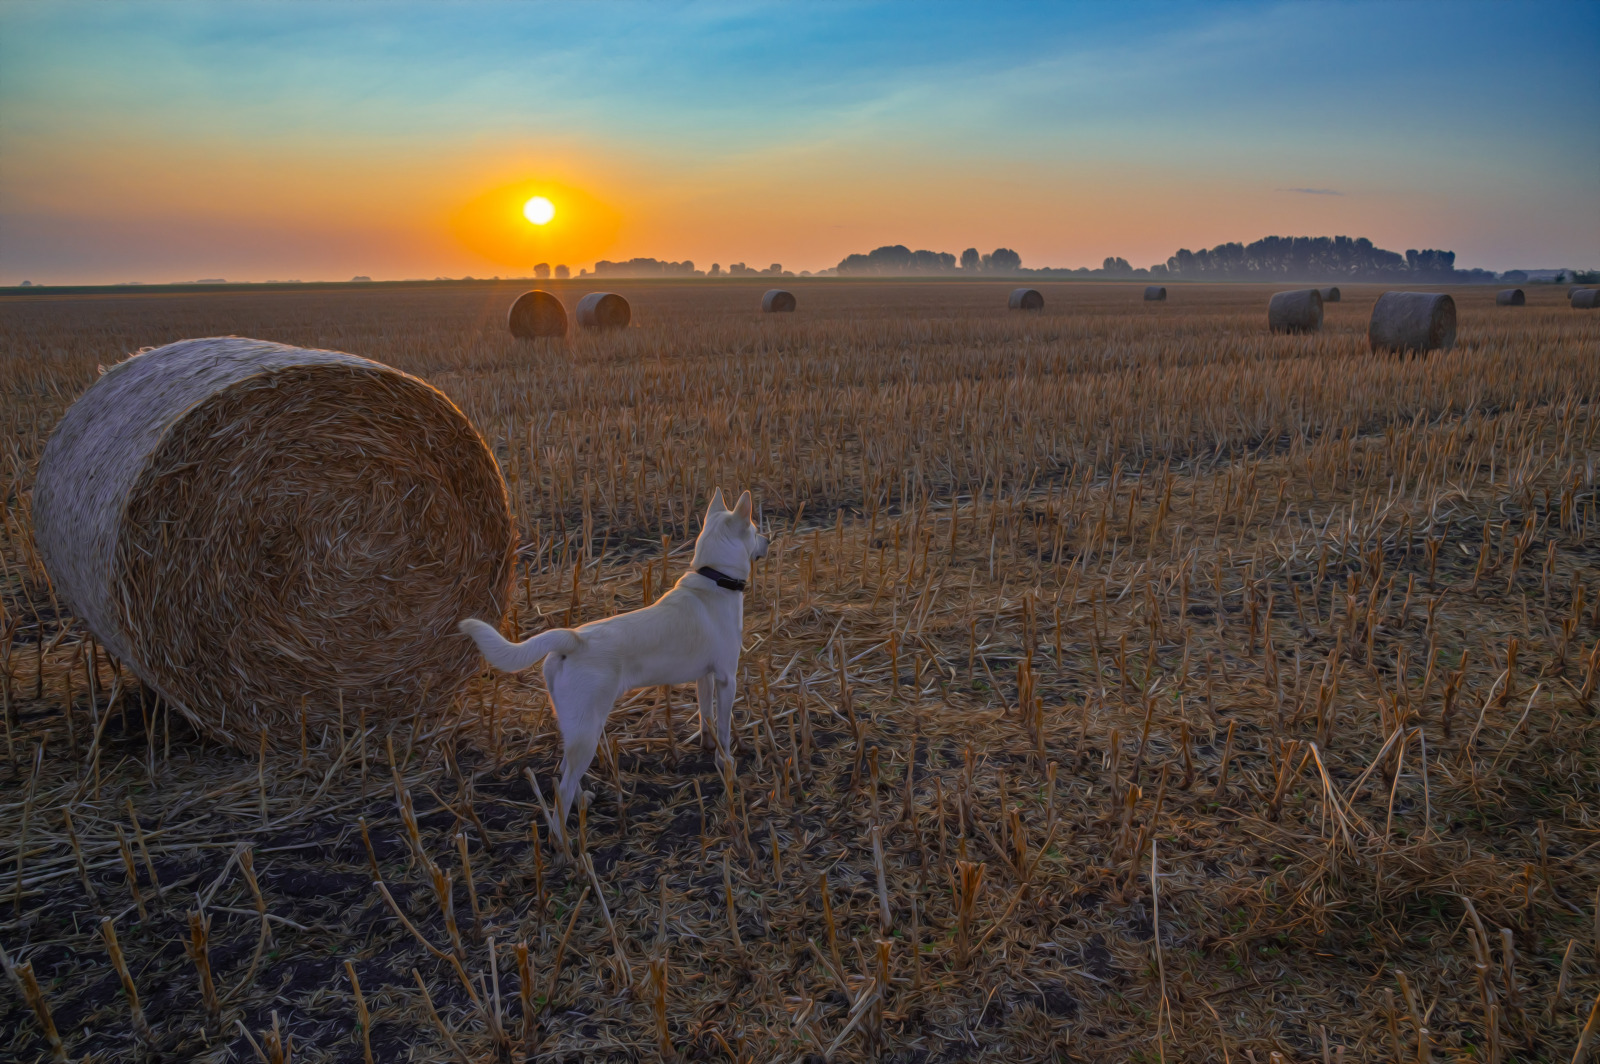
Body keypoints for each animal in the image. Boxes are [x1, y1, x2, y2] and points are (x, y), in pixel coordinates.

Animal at [457, 489, 768, 838]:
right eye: (754, 529)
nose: (768, 540)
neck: (713, 578)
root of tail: (572, 639)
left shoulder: (706, 676)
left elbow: (706, 717)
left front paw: (707, 746)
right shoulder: (727, 677)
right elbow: (725, 728)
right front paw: (727, 764)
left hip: (573, 724)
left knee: (563, 769)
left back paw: (583, 803)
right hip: (588, 730)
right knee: (563, 786)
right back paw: (562, 840)